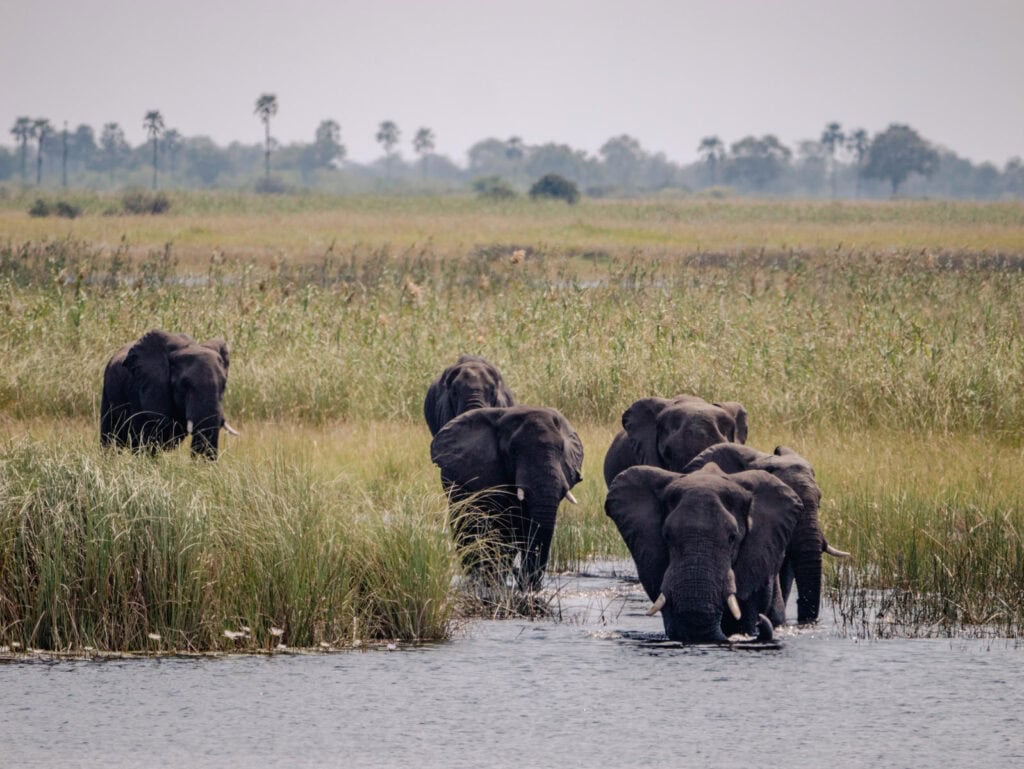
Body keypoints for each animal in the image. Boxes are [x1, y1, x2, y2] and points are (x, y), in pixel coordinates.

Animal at [430, 406, 583, 590]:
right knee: (466, 528)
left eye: (561, 450)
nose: (519, 574)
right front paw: (494, 581)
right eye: (514, 451)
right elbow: (501, 528)